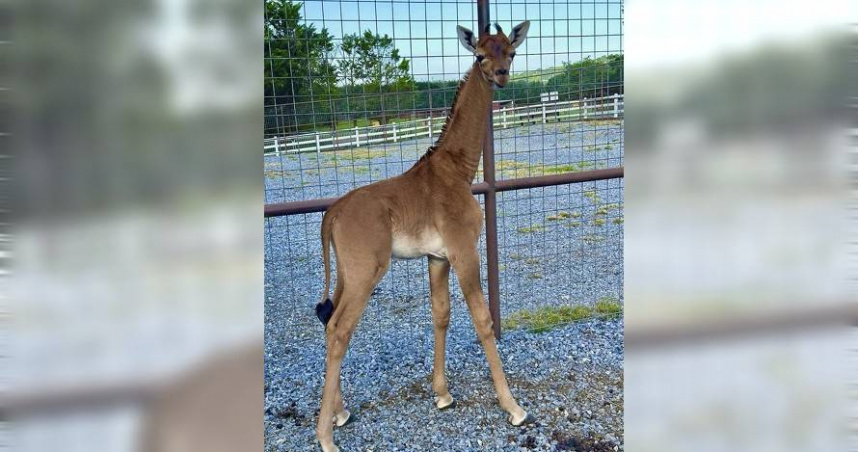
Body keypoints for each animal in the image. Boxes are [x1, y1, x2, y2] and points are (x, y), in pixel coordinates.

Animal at [313, 21, 532, 452]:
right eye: (480, 54)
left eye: (511, 52)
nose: (501, 75)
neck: (458, 170)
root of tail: (331, 215)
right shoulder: (464, 250)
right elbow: (482, 319)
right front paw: (513, 407)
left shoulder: (438, 257)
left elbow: (441, 314)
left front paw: (443, 394)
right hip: (366, 271)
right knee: (340, 329)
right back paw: (326, 436)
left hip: (347, 272)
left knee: (329, 322)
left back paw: (340, 412)